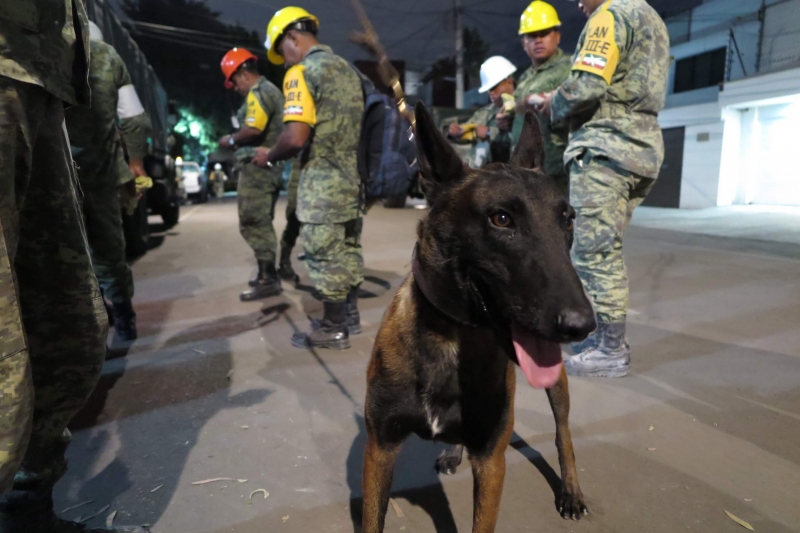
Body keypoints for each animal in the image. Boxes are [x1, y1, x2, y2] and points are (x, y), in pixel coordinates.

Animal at [362, 102, 600, 528]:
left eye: (568, 219)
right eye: (501, 219)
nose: (582, 326)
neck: (451, 335)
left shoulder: (491, 463)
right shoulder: (379, 451)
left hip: (556, 385)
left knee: (563, 432)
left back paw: (571, 489)